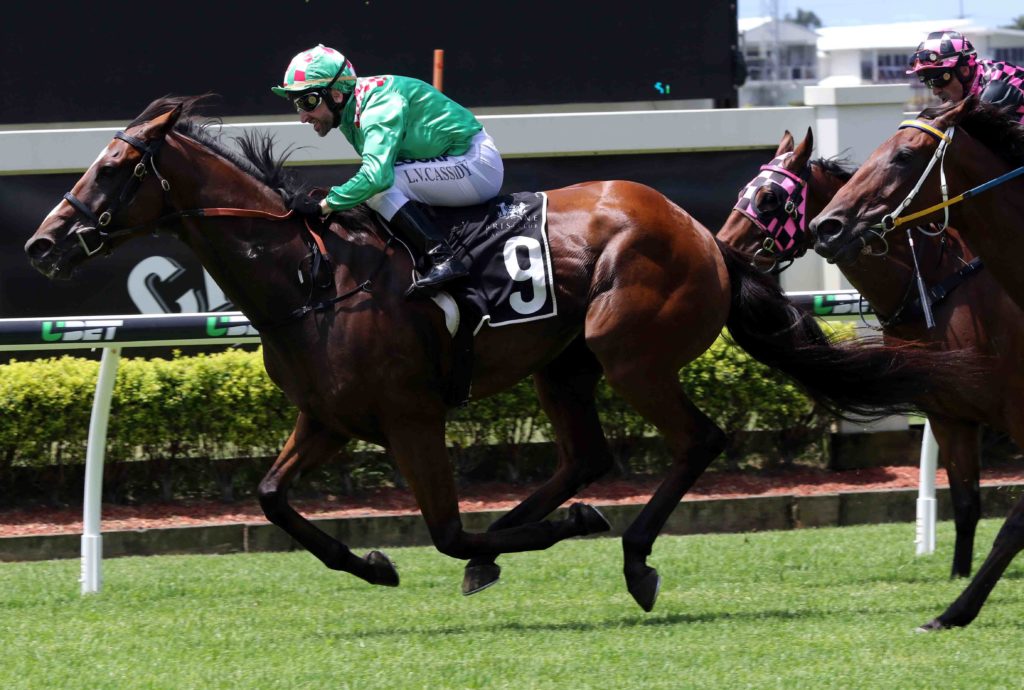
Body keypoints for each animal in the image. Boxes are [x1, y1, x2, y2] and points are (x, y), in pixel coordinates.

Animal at [24, 95, 987, 614]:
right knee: (587, 456)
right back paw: (529, 539)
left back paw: (627, 552)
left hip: (627, 352)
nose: (42, 243)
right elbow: (270, 498)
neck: (312, 275)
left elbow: (445, 531)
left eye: (114, 171)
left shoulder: (409, 416)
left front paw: (551, 534)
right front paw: (371, 564)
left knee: (696, 442)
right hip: (566, 365)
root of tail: (709, 241)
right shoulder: (328, 418)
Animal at [719, 127, 1024, 582]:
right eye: (743, 190)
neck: (935, 284)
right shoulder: (949, 415)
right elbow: (967, 506)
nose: (721, 246)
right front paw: (959, 579)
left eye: (770, 197)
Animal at [810, 96, 1024, 630]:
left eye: (904, 155)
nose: (826, 226)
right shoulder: (950, 410)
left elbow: (1012, 522)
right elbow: (970, 504)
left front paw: (956, 609)